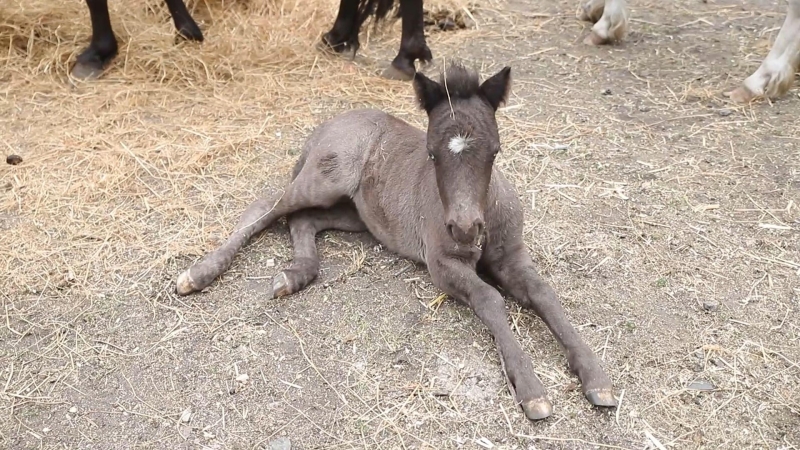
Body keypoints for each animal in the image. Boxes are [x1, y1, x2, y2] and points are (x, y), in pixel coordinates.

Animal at [177, 64, 620, 422]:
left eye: (495, 151)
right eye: (432, 154)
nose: (464, 228)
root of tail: (328, 125)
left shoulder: (511, 257)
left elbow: (544, 294)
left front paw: (596, 378)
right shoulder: (442, 264)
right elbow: (490, 299)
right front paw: (531, 390)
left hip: (356, 214)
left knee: (302, 221)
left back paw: (295, 275)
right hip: (323, 180)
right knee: (266, 208)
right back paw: (198, 274)